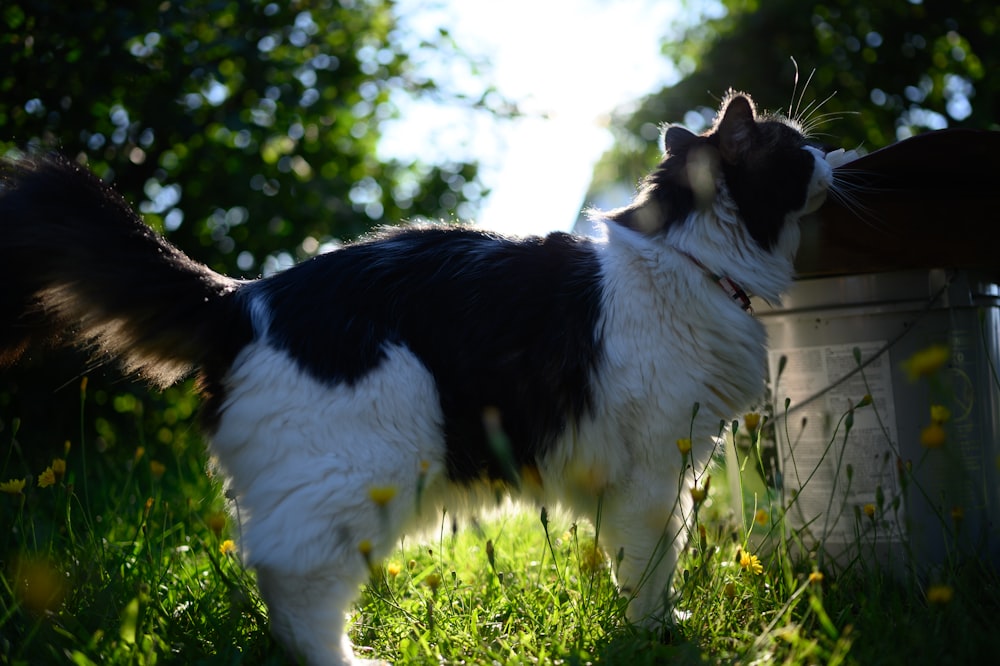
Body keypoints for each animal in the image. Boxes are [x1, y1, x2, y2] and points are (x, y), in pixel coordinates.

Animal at [0, 91, 828, 660]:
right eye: (796, 148)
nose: (829, 157)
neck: (690, 258)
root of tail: (242, 295)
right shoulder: (653, 469)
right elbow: (653, 564)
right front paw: (660, 634)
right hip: (357, 469)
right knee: (291, 577)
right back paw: (345, 661)